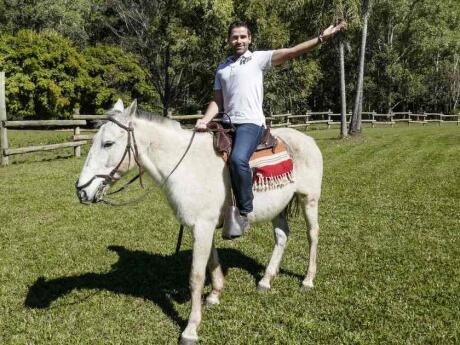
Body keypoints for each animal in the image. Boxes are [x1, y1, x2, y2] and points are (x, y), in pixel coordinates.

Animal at [75, 99, 324, 342]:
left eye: (108, 143)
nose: (81, 191)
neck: (186, 166)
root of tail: (308, 140)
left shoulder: (202, 227)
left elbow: (196, 276)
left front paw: (191, 329)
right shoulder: (203, 227)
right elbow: (212, 263)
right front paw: (214, 295)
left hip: (309, 199)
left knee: (312, 234)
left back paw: (308, 280)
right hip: (278, 206)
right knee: (282, 236)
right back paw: (265, 280)